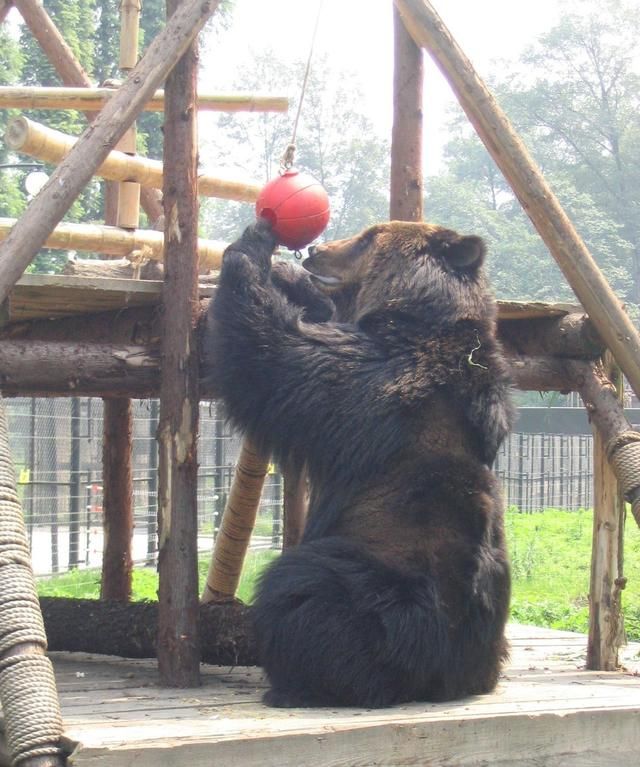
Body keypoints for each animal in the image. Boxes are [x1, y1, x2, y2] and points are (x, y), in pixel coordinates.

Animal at [205, 216, 516, 708]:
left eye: (369, 236)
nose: (315, 250)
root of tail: (440, 672)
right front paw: (287, 275)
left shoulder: (372, 380)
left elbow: (278, 353)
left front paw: (253, 250)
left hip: (379, 582)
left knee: (306, 590)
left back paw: (291, 681)